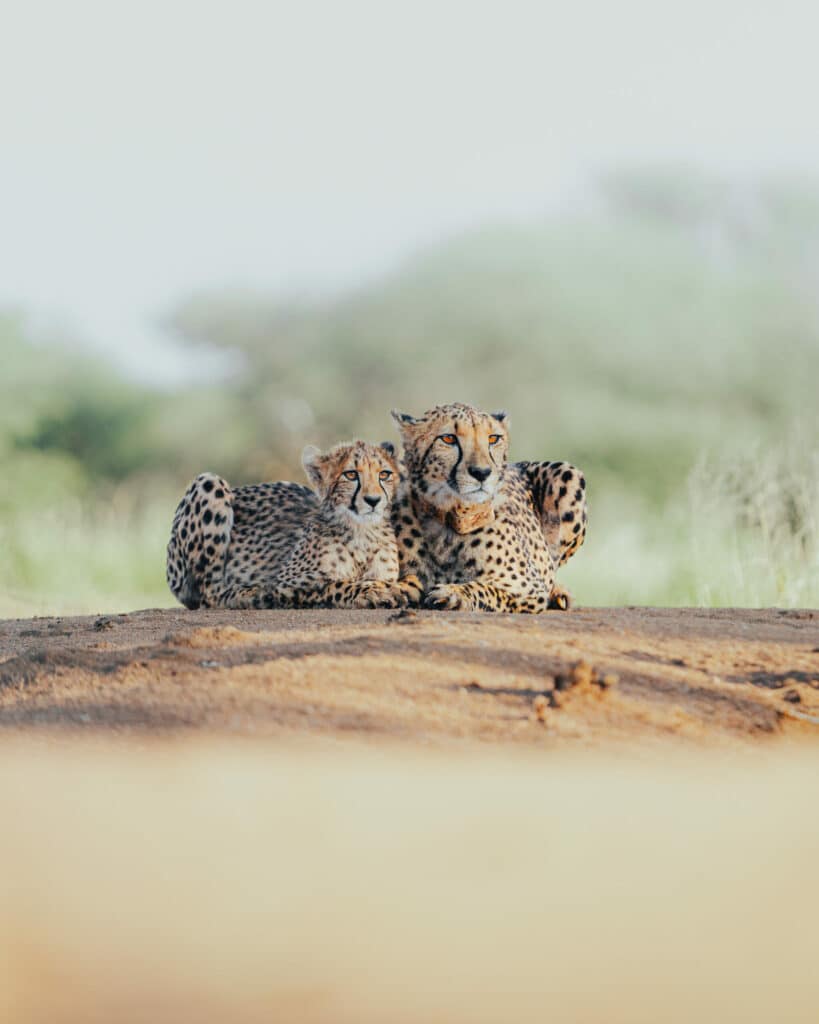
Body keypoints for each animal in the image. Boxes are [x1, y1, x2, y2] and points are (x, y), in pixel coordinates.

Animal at [165, 438, 421, 606]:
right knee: (209, 593)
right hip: (209, 482)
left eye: (384, 474)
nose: (373, 500)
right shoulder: (285, 584)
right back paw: (247, 595)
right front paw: (374, 591)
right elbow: (334, 584)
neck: (362, 531)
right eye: (350, 475)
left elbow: (410, 580)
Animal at [391, 401, 589, 610]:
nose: (481, 472)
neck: (451, 518)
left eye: (493, 438)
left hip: (568, 473)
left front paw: (453, 593)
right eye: (448, 438)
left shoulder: (528, 589)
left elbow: (486, 589)